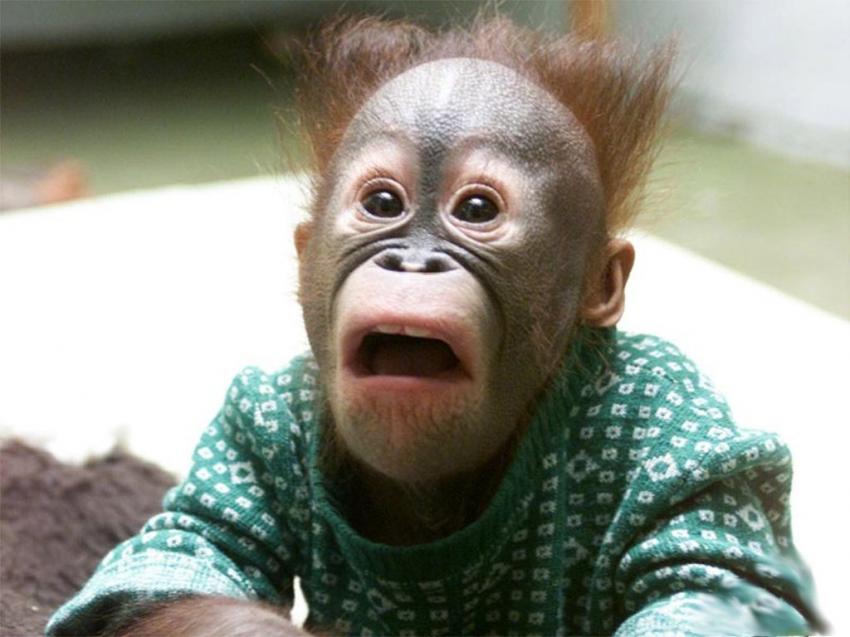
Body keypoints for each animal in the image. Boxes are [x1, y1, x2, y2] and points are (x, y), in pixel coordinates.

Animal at [46, 15, 823, 637]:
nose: (412, 260)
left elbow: (718, 581)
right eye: (383, 203)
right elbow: (179, 555)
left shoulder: (671, 415)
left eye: (476, 210)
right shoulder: (254, 420)